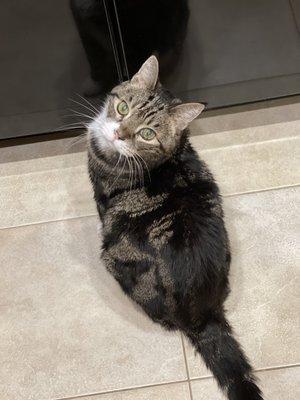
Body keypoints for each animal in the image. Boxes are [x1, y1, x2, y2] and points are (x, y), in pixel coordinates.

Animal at [86, 54, 262, 398]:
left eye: (147, 134)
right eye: (123, 108)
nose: (118, 134)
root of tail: (203, 316)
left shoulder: (102, 197)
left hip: (114, 260)